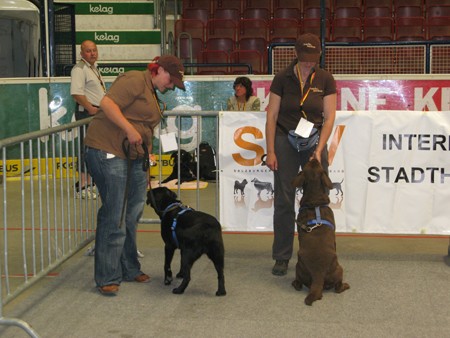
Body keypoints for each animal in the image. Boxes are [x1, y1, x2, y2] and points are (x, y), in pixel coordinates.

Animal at [290, 160, 350, 304]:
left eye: (312, 163)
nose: (314, 158)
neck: (314, 203)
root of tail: (318, 274)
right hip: (340, 269)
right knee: (338, 288)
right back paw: (345, 285)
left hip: (298, 267)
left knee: (299, 283)